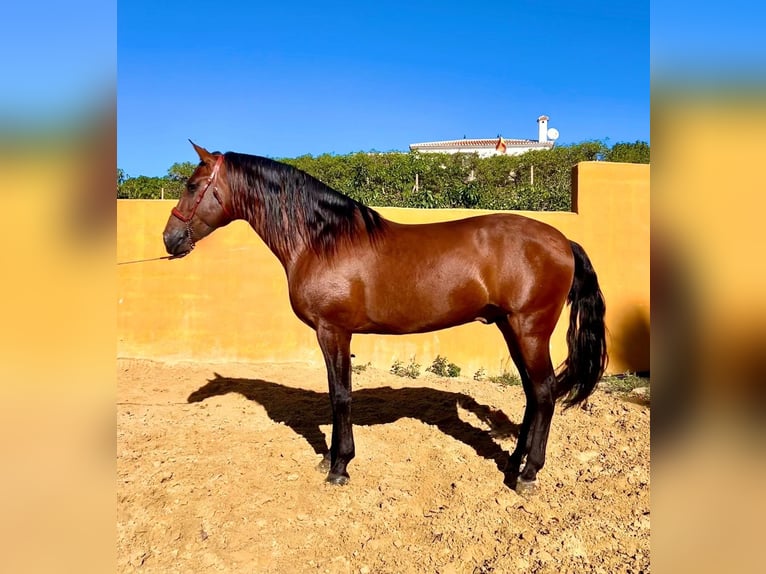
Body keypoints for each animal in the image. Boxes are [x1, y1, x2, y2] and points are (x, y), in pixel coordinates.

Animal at [165, 142, 608, 492]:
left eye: (192, 186)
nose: (170, 239)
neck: (321, 240)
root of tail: (562, 241)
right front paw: (331, 459)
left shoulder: (333, 331)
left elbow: (340, 395)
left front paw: (339, 466)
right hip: (510, 327)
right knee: (533, 393)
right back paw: (515, 462)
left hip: (529, 328)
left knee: (545, 392)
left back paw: (528, 474)